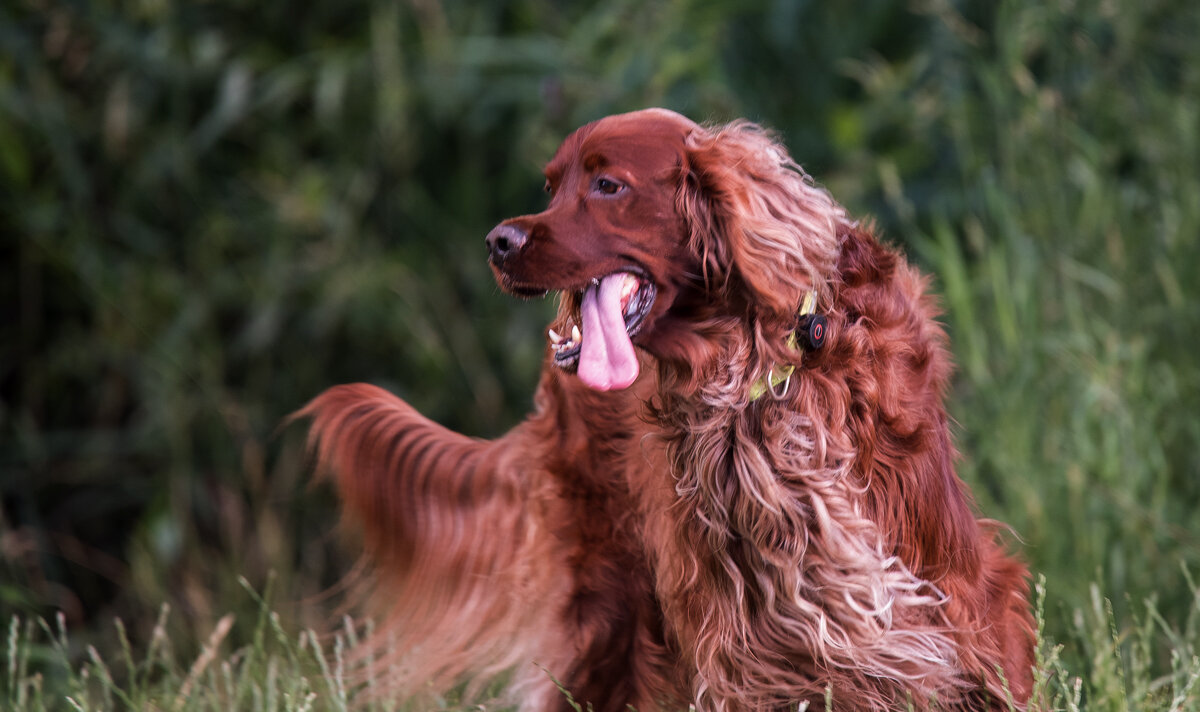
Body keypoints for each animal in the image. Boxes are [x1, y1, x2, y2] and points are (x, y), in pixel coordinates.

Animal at [300, 108, 1032, 705]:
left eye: (607, 185)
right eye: (551, 186)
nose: (498, 243)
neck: (756, 368)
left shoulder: (957, 597)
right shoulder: (744, 644)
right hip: (610, 611)